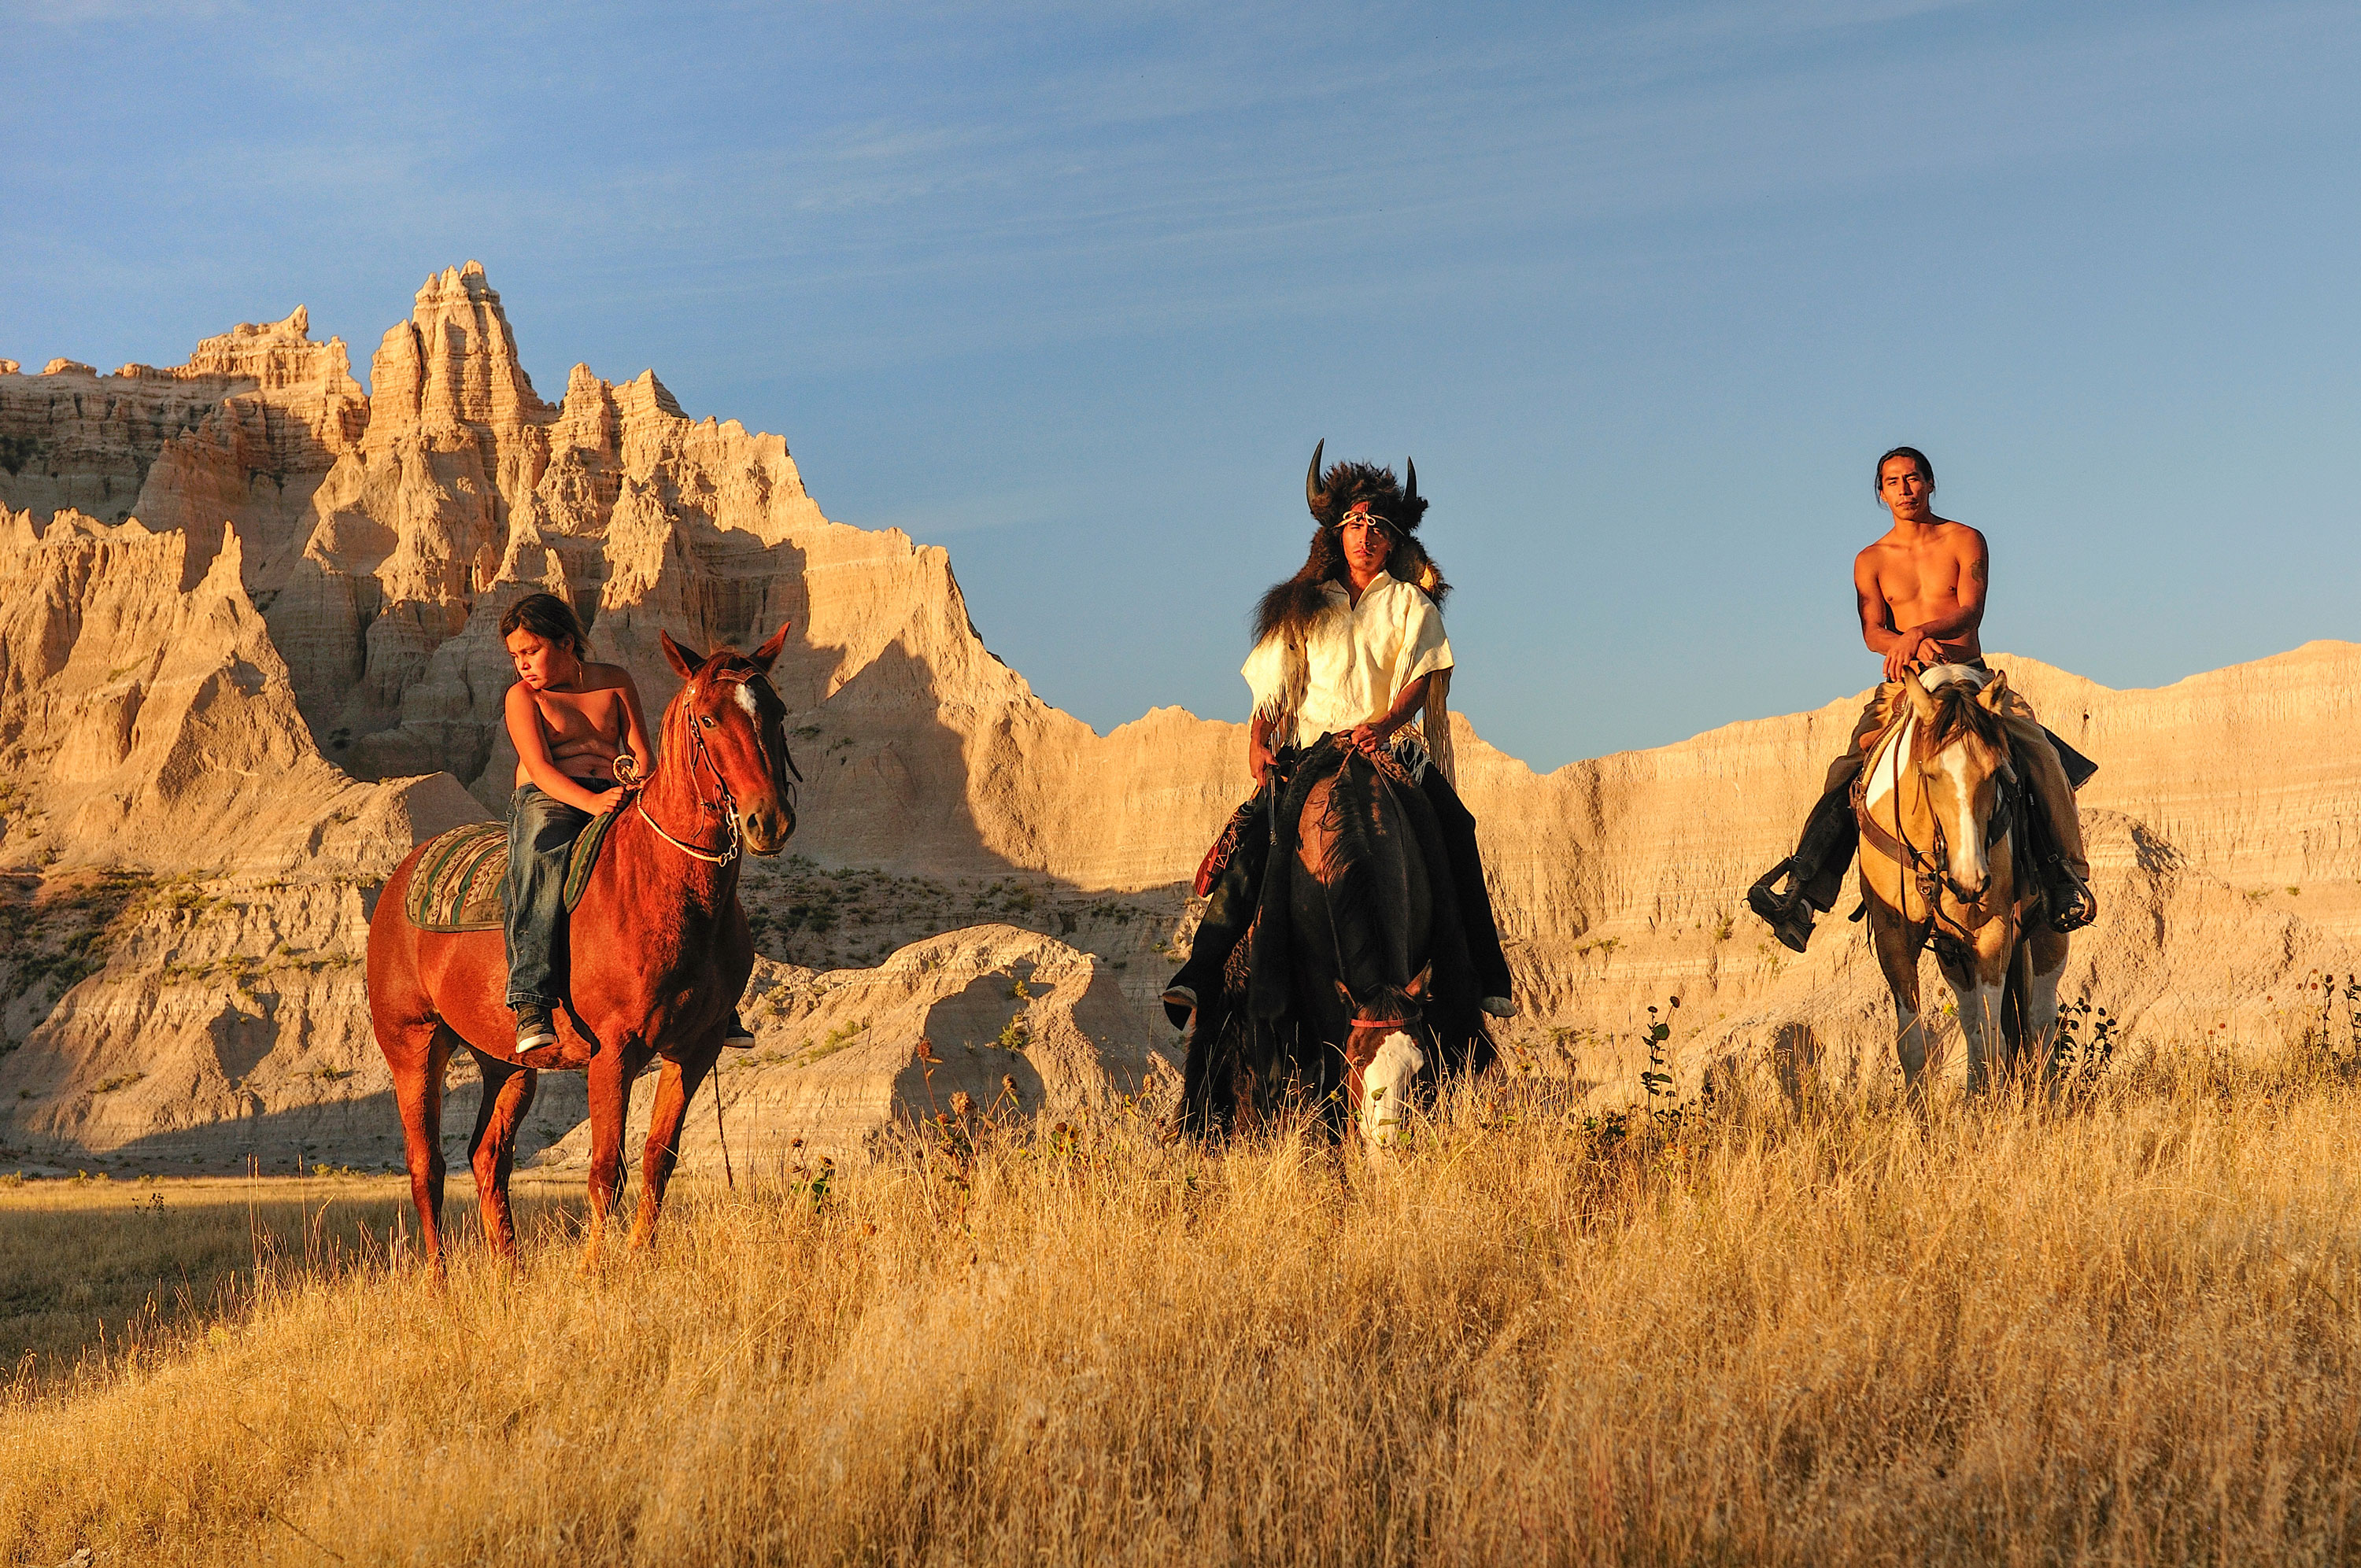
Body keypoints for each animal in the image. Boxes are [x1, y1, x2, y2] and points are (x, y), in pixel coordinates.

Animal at [366, 618, 803, 1265]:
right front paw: (594, 1273)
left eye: (776, 710)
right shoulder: (613, 1051)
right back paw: (440, 1279)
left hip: (507, 1062)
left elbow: (658, 1160)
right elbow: (605, 1171)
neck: (661, 884)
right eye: (708, 718)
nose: (768, 821)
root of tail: (401, 877)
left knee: (488, 1158)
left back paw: (509, 1275)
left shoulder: (695, 1050)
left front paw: (639, 1260)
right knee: (428, 1167)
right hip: (413, 1047)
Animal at [1851, 666, 2078, 1095]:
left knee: (2040, 1021)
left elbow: (1994, 1039)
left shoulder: (1992, 931)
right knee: (1975, 1022)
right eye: (1929, 773)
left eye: (1993, 773)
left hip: (2047, 931)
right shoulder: (1894, 936)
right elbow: (1915, 1045)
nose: (1970, 880)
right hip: (1952, 952)